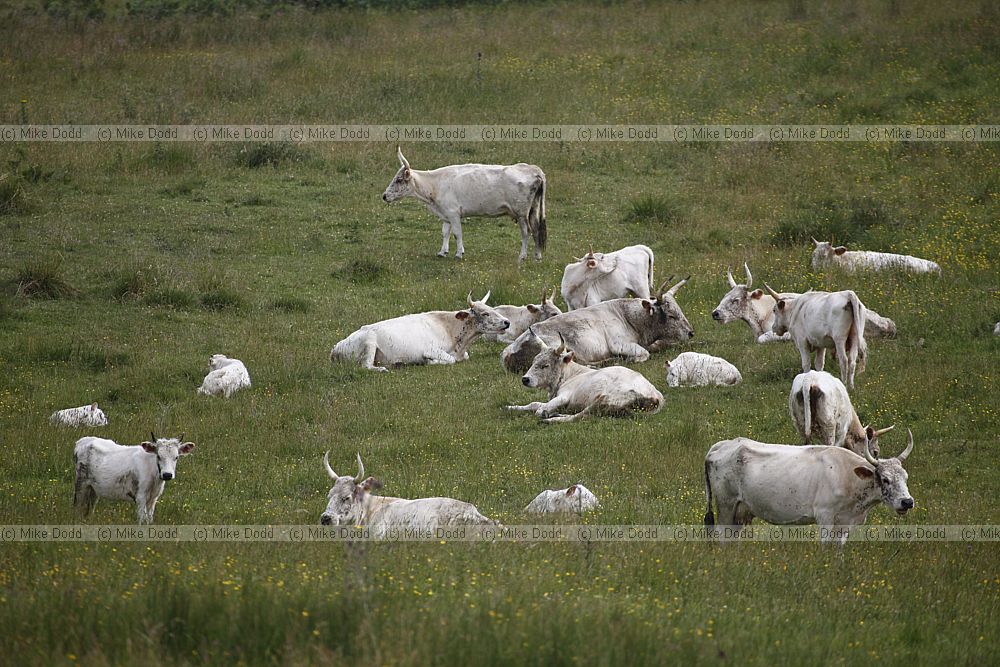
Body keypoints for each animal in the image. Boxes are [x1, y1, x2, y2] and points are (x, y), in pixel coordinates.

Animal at [330, 291, 510, 372]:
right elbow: (449, 360)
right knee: (365, 366)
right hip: (369, 341)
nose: (507, 322)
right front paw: (429, 362)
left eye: (492, 308)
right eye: (485, 313)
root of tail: (335, 348)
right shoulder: (430, 350)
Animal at [382, 147, 546, 261]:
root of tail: (533, 169)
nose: (384, 196)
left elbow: (457, 233)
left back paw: (522, 256)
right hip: (533, 209)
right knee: (536, 229)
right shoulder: (446, 214)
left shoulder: (453, 213)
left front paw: (458, 254)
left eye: (399, 180)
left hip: (521, 213)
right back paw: (537, 256)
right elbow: (445, 232)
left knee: (526, 232)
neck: (435, 185)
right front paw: (442, 252)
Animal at [501, 277, 693, 374]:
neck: (629, 317)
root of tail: (508, 352)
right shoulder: (619, 343)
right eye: (671, 315)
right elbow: (644, 354)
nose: (691, 333)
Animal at [505, 335, 664, 423]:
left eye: (545, 365)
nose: (525, 379)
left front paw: (544, 412)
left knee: (580, 416)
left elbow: (539, 409)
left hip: (603, 400)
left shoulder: (564, 396)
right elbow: (534, 404)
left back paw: (551, 419)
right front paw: (511, 407)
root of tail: (656, 395)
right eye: (533, 361)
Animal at [703, 431, 915, 544]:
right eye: (885, 479)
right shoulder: (825, 516)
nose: (907, 502)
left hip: (740, 511)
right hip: (726, 506)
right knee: (722, 536)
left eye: (905, 477)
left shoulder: (845, 524)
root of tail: (726, 444)